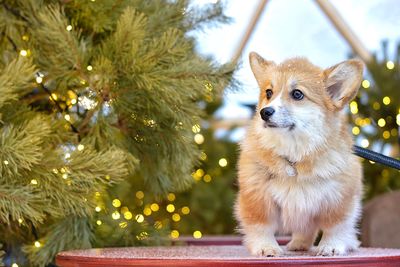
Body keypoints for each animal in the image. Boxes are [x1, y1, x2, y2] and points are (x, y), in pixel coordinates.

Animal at [236, 51, 364, 258]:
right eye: (268, 93)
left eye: (297, 94)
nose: (265, 112)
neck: (294, 156)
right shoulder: (257, 198)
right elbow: (261, 226)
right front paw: (266, 247)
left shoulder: (339, 200)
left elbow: (335, 227)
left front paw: (330, 247)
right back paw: (298, 244)